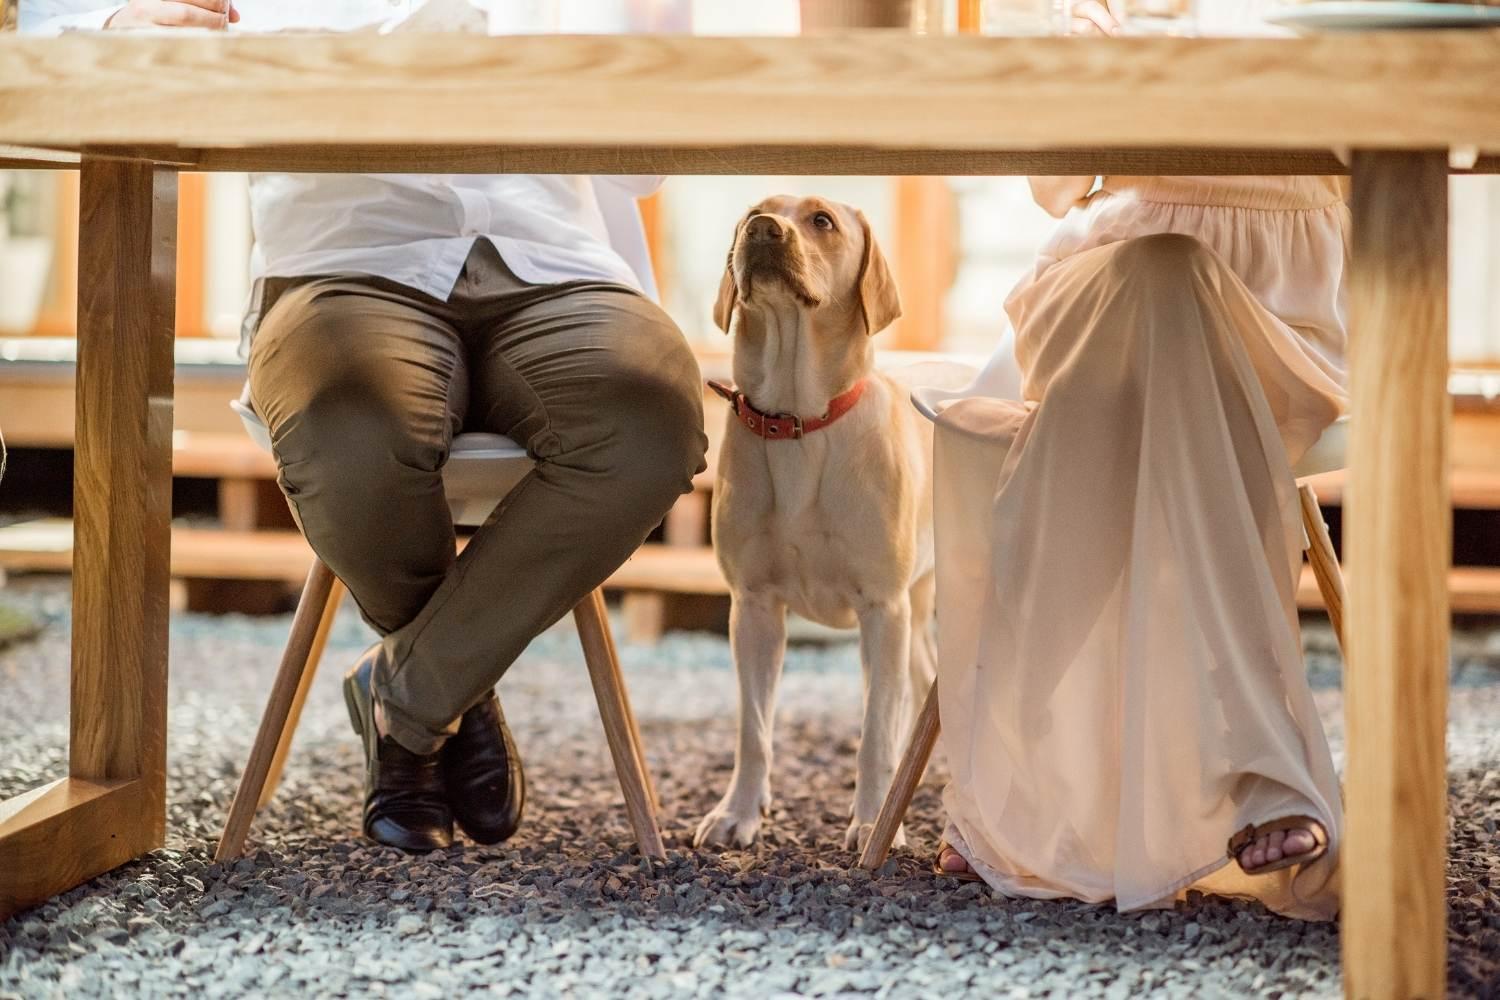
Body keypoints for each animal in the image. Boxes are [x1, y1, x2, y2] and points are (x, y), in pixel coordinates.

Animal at [693, 197, 972, 851]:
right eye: (753, 210)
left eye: (821, 220)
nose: (761, 230)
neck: (798, 422)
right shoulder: (754, 607)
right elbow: (753, 729)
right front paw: (738, 812)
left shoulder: (881, 608)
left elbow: (874, 733)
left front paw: (872, 822)